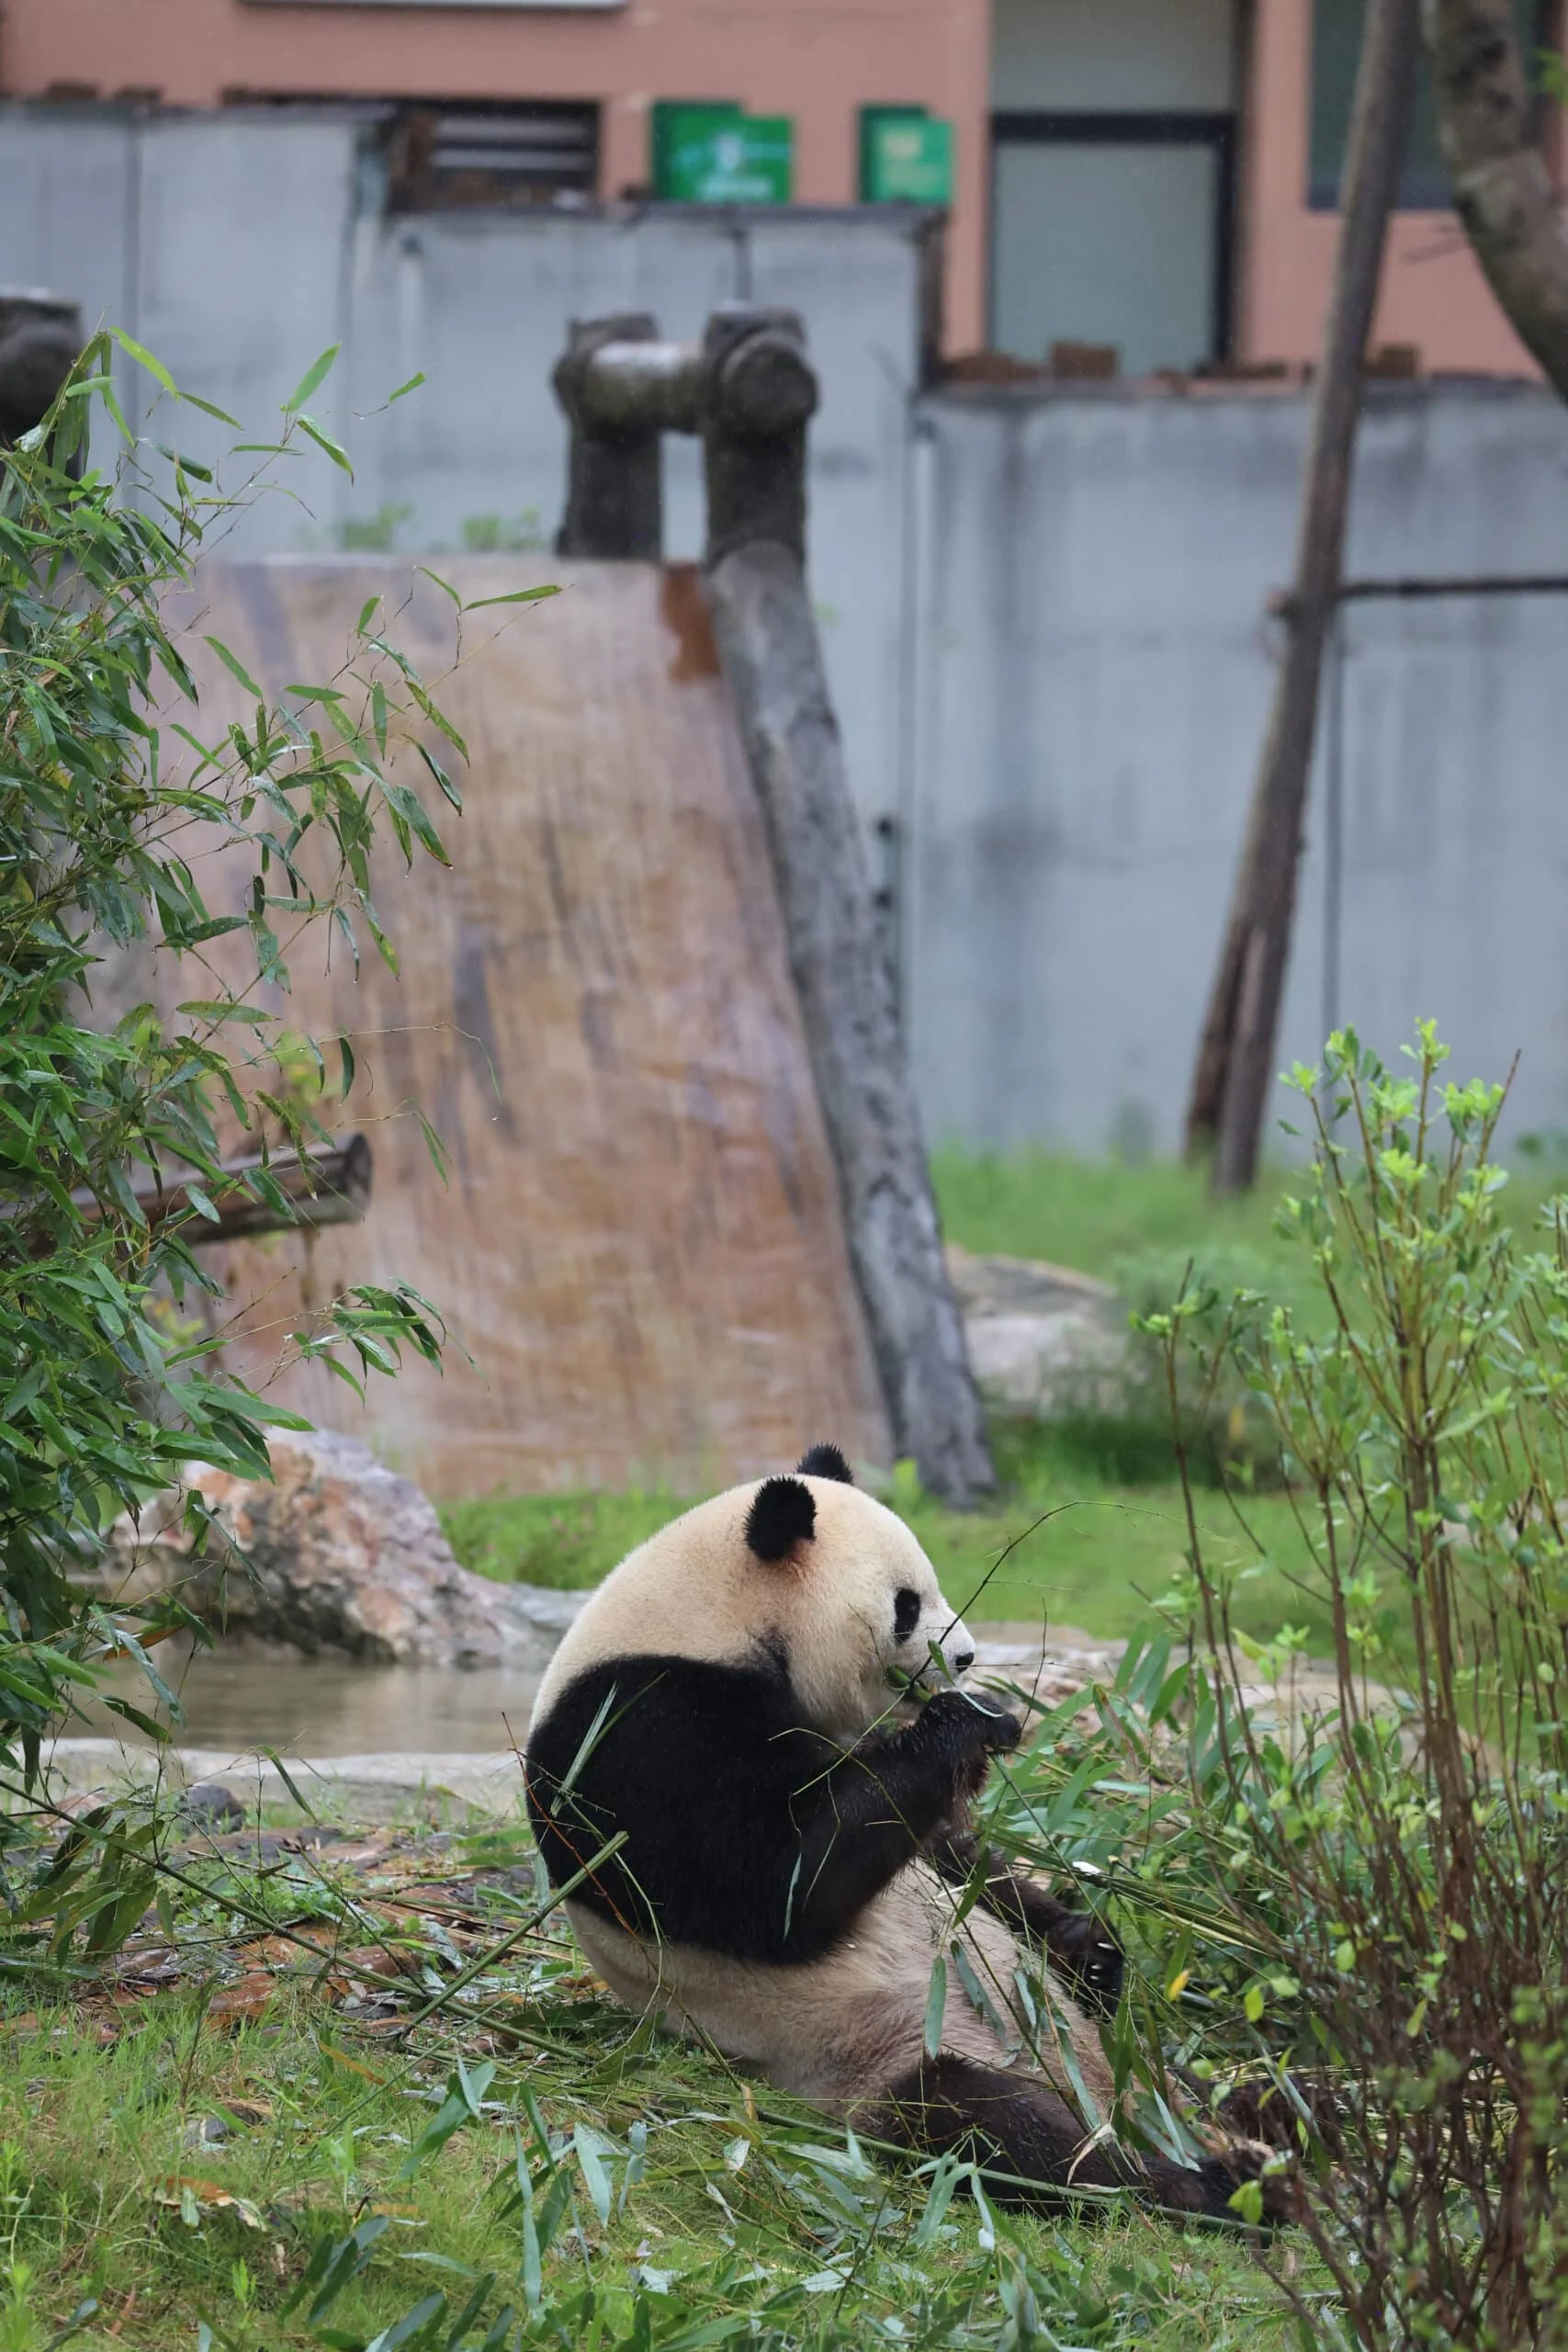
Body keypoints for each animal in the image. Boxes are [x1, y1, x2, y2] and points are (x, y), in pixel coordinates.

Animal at [525, 1442, 1280, 2222]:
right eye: (907, 1604)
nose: (968, 1658)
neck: (706, 1619)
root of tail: (1114, 2099)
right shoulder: (634, 1731)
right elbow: (781, 1884)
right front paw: (974, 1719)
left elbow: (954, 1858)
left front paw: (1090, 1949)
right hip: (881, 2051)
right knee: (997, 2131)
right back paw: (1210, 2186)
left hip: (1136, 2061)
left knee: (1227, 2086)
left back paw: (1278, 2127)